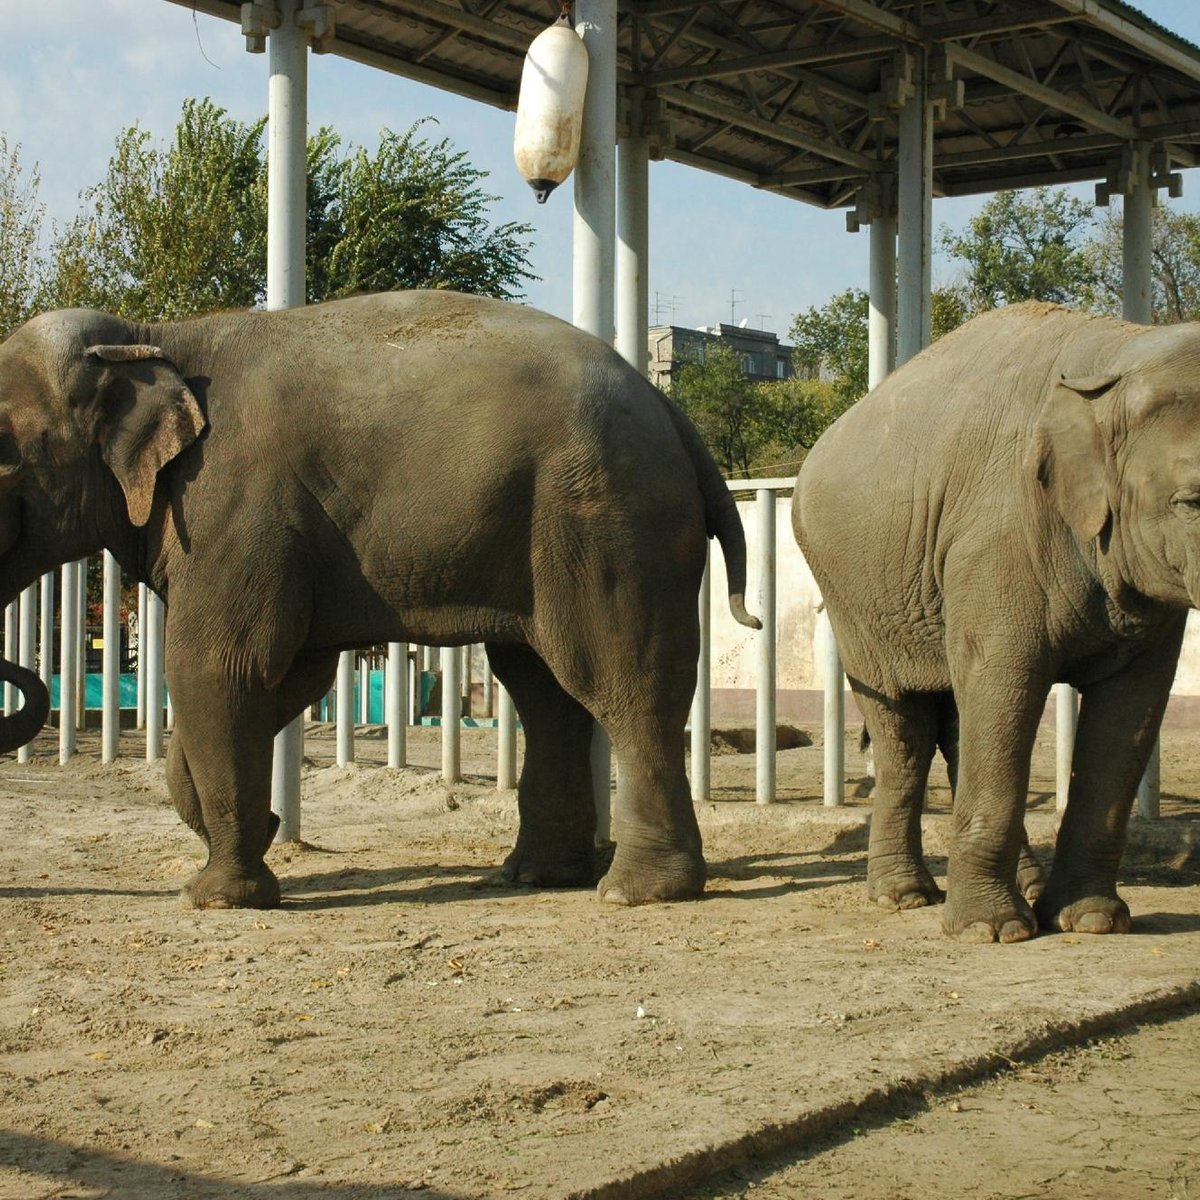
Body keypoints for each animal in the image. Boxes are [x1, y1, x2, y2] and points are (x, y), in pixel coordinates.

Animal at [0, 290, 753, 907]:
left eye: (3, 459)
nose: (273, 820)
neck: (154, 335)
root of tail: (670, 412)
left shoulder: (235, 512)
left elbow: (219, 668)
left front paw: (216, 898)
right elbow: (284, 677)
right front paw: (254, 831)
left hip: (607, 518)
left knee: (620, 680)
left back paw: (635, 892)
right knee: (545, 692)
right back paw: (536, 875)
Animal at [796, 302, 1200, 945]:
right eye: (1191, 503)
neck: (1117, 353)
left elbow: (1131, 711)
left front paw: (1093, 922)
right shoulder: (997, 539)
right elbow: (1003, 682)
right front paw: (992, 933)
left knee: (960, 724)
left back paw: (1025, 890)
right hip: (853, 597)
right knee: (903, 728)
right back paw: (905, 897)